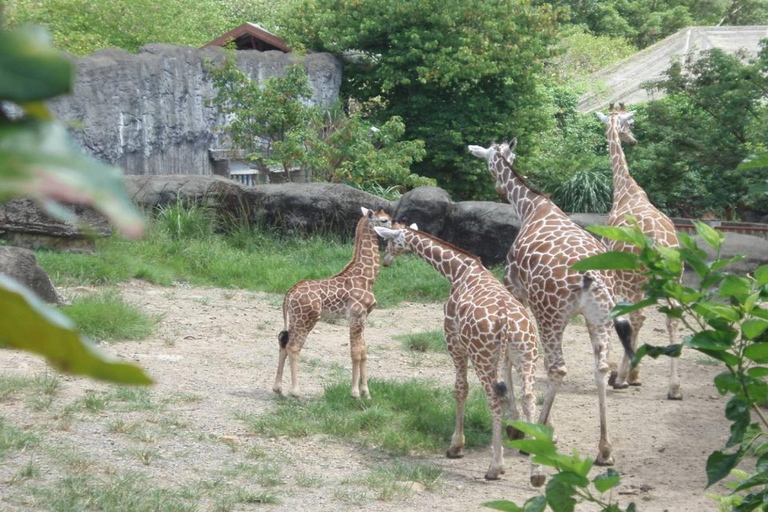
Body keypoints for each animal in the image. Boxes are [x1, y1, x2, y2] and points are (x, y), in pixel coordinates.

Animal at [272, 206, 390, 398]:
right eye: (385, 220)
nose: (397, 228)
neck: (367, 278)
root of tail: (289, 294)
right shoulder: (356, 316)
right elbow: (355, 352)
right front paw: (355, 393)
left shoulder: (363, 317)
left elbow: (364, 351)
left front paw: (366, 393)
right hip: (307, 319)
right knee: (293, 347)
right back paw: (296, 392)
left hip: (295, 319)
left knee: (283, 342)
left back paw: (278, 388)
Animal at [376, 225, 544, 488]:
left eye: (391, 242)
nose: (386, 261)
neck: (457, 270)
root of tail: (507, 324)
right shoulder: (506, 357)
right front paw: (516, 433)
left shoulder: (453, 341)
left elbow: (460, 389)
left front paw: (455, 447)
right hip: (528, 354)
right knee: (529, 397)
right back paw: (536, 473)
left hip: (482, 355)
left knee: (494, 399)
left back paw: (495, 468)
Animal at [472, 141, 632, 468]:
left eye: (489, 163)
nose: (497, 188)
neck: (531, 207)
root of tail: (591, 276)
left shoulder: (515, 291)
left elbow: (510, 360)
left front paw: (516, 425)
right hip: (599, 318)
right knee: (600, 367)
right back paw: (604, 450)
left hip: (550, 314)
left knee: (557, 368)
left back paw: (540, 432)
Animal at [592, 103, 684, 400]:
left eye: (628, 124)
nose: (633, 140)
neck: (624, 188)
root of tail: (660, 245)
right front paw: (635, 376)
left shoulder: (615, 274)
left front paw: (623, 374)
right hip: (673, 279)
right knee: (672, 317)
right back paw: (674, 388)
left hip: (638, 280)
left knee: (639, 317)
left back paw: (622, 377)